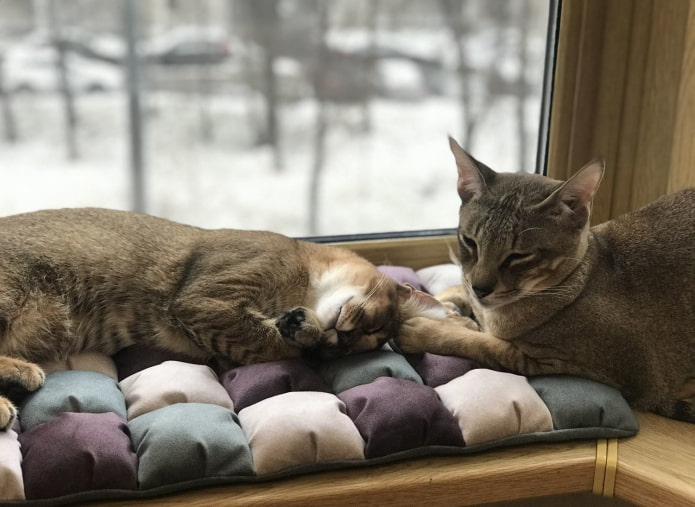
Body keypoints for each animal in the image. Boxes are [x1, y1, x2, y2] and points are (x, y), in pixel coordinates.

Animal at [0, 208, 444, 430]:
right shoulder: (201, 299)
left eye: (349, 348)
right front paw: (301, 330)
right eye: (372, 323)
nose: (344, 334)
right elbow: (270, 342)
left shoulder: (217, 335)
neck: (303, 277)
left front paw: (305, 331)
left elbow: (264, 345)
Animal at [396, 137, 695, 422]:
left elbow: (489, 346)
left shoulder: (579, 365)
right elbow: (457, 289)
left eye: (519, 256)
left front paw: (428, 329)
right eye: (470, 242)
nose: (481, 288)